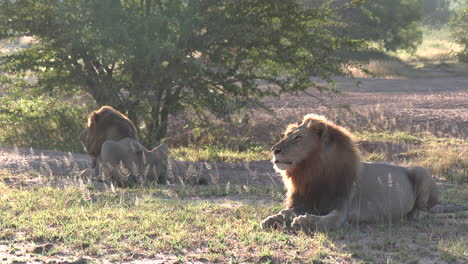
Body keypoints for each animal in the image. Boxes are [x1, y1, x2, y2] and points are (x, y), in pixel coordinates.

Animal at [262, 113, 440, 231]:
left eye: (298, 138)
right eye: (287, 135)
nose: (274, 150)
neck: (311, 171)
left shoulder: (343, 211)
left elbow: (328, 220)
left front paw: (304, 221)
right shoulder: (304, 201)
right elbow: (286, 211)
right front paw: (271, 219)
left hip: (421, 171)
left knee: (426, 209)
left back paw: (415, 214)